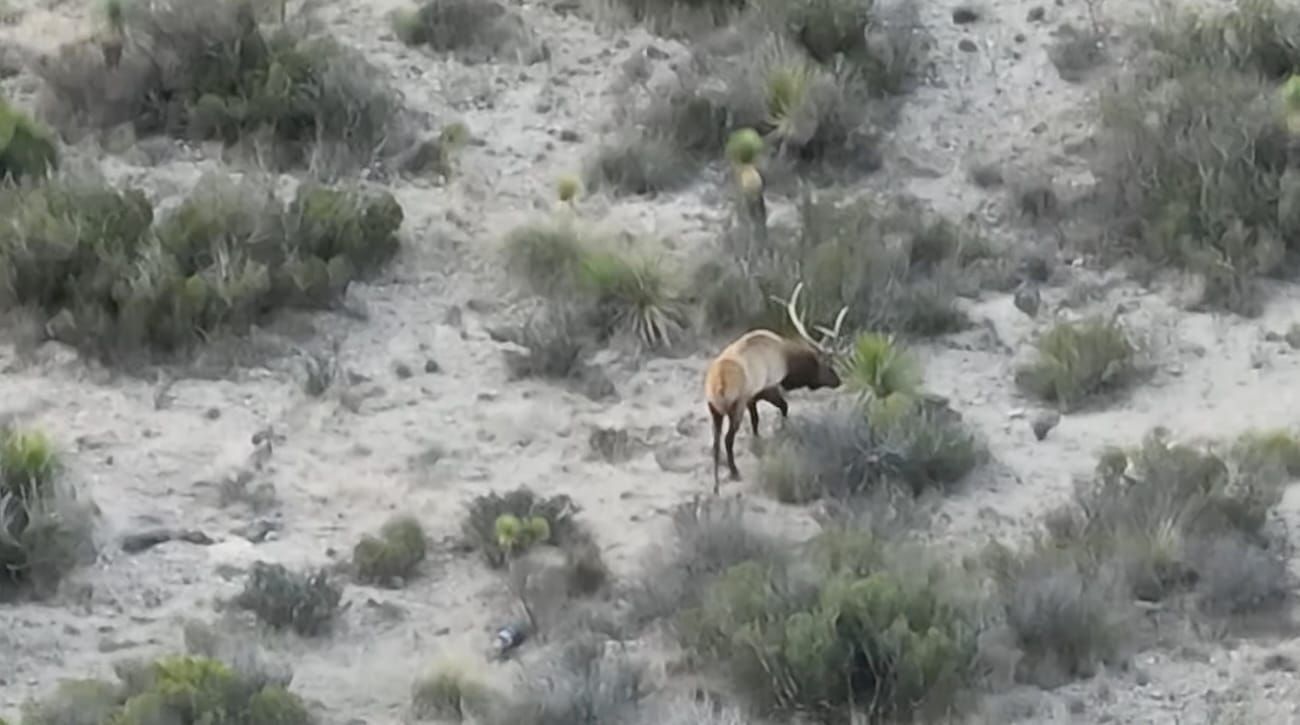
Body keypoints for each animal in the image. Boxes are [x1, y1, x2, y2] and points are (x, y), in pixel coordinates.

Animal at [703, 282, 848, 494]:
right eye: (827, 366)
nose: (838, 381)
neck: (787, 360)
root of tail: (718, 383)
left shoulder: (751, 397)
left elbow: (755, 421)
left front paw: (758, 440)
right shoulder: (767, 388)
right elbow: (784, 407)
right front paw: (782, 429)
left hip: (714, 408)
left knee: (715, 444)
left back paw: (715, 486)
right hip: (735, 406)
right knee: (728, 439)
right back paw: (734, 472)